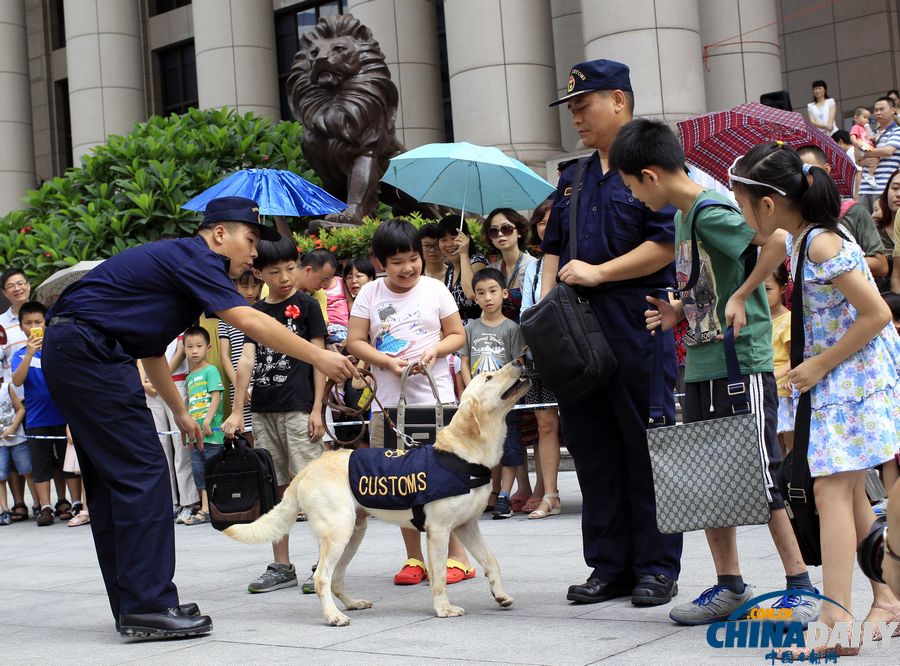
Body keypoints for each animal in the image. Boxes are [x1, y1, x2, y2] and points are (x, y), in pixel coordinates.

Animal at [227, 358, 528, 624]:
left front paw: (500, 595)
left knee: (336, 578)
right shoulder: (439, 530)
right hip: (338, 530)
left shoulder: (467, 526)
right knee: (323, 577)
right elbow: (440, 576)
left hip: (354, 532)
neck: (465, 455)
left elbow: (492, 561)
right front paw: (443, 609)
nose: (520, 361)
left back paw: (352, 603)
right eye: (488, 377)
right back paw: (334, 616)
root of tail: (307, 469)